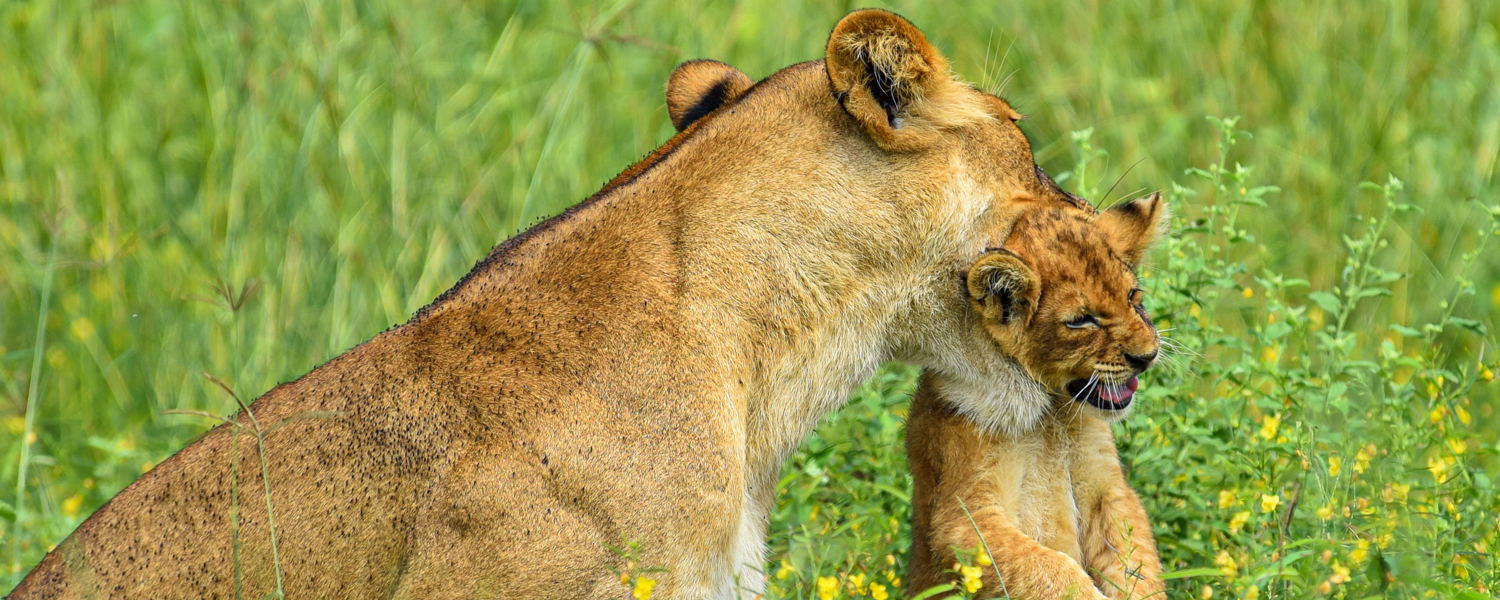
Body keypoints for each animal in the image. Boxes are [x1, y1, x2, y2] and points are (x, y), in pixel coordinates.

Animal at [906, 197, 1170, 600]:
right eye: (1081, 320)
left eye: (1132, 296)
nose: (1147, 356)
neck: (1052, 415)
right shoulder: (962, 514)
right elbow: (1050, 568)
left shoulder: (1109, 489)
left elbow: (1134, 560)